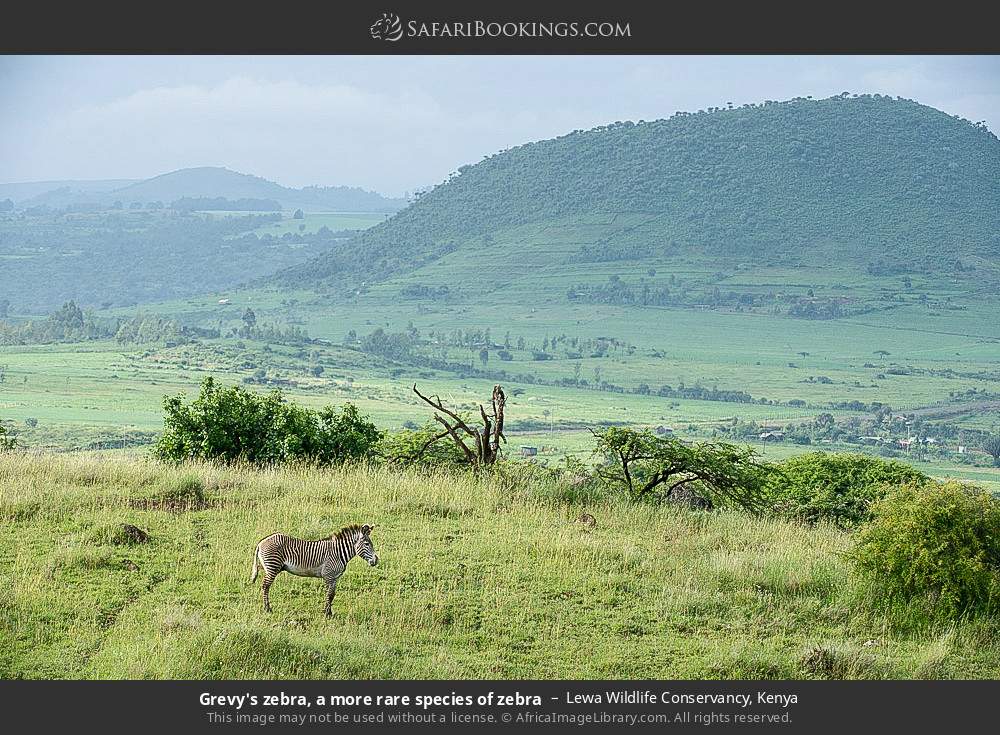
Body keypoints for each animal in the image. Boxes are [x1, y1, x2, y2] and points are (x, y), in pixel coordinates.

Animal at [250, 523, 378, 616]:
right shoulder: (328, 575)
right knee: (265, 587)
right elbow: (329, 594)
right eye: (367, 544)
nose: (376, 560)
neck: (339, 552)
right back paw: (268, 609)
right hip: (273, 567)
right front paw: (327, 614)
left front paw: (329, 612)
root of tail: (261, 542)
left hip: (269, 566)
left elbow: (332, 594)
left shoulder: (335, 577)